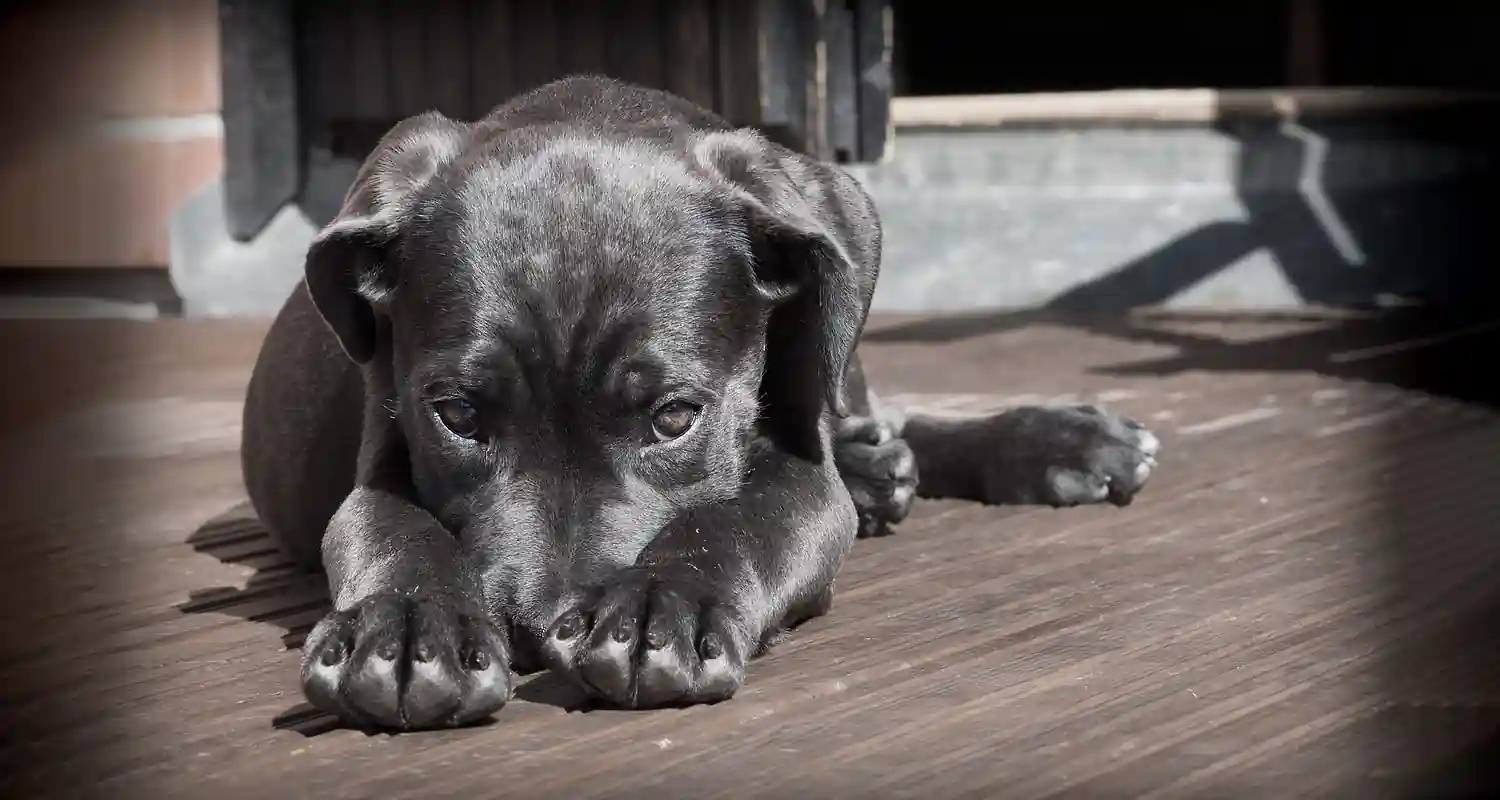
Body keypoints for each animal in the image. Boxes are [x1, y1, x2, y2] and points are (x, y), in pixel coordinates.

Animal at [243, 75, 1158, 729]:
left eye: (675, 417)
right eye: (458, 417)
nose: (538, 630)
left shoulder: (800, 475)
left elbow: (741, 518)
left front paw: (661, 606)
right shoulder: (380, 461)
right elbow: (391, 530)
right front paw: (404, 628)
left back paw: (1054, 443)